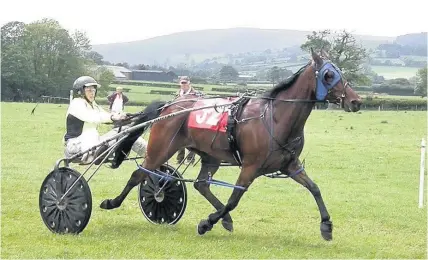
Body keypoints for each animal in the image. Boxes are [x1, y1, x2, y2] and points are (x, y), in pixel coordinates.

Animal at [99, 49, 362, 241]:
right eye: (328, 75)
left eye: (339, 72)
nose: (356, 101)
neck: (275, 117)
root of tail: (170, 106)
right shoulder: (250, 167)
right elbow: (234, 199)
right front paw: (207, 223)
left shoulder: (291, 165)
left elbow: (315, 188)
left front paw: (326, 225)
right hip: (161, 149)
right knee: (139, 175)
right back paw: (112, 202)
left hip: (210, 156)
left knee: (201, 184)